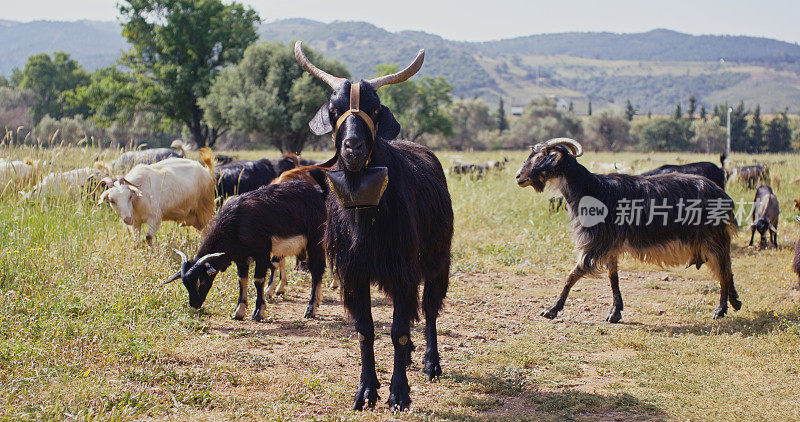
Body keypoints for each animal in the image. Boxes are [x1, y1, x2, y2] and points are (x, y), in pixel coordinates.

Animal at [296, 41, 454, 410]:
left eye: (375, 108)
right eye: (334, 108)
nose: (352, 147)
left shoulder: (403, 269)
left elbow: (398, 331)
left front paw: (399, 394)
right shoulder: (354, 272)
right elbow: (366, 329)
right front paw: (366, 390)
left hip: (437, 258)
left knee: (429, 309)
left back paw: (430, 362)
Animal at [516, 138, 740, 324]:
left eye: (540, 157)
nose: (519, 177)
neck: (591, 190)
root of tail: (721, 193)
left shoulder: (598, 242)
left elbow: (573, 274)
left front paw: (552, 309)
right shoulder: (612, 246)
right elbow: (613, 278)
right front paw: (615, 312)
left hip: (713, 238)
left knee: (724, 271)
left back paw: (721, 309)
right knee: (725, 269)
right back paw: (734, 302)